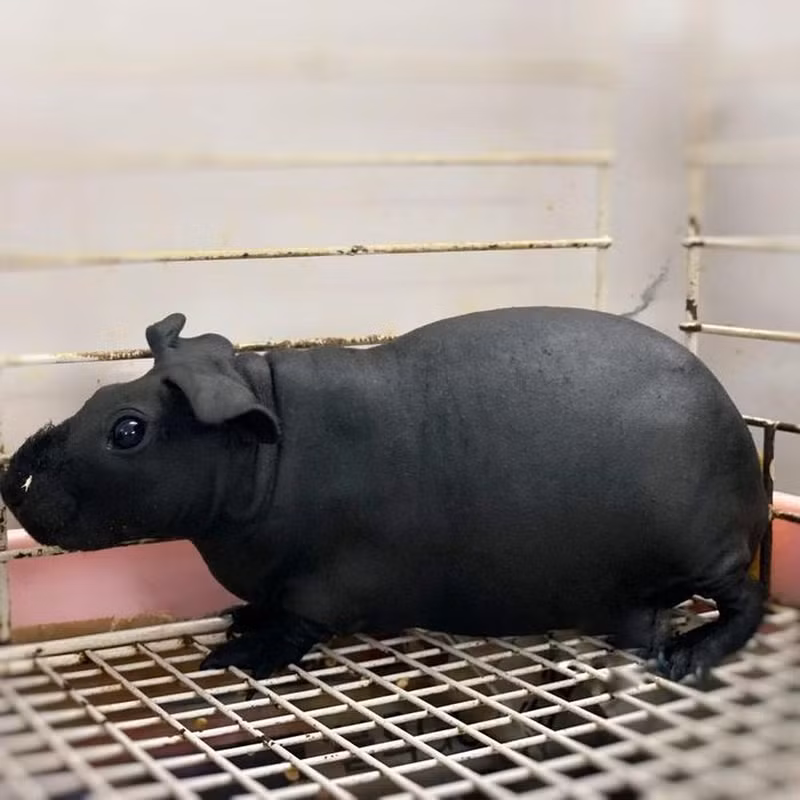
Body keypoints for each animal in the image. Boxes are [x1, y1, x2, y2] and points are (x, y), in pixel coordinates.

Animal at [0, 308, 768, 682]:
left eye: (128, 430)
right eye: (101, 398)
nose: (21, 480)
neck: (268, 458)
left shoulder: (323, 589)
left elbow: (295, 627)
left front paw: (236, 655)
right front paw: (237, 618)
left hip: (709, 553)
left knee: (747, 602)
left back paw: (689, 656)